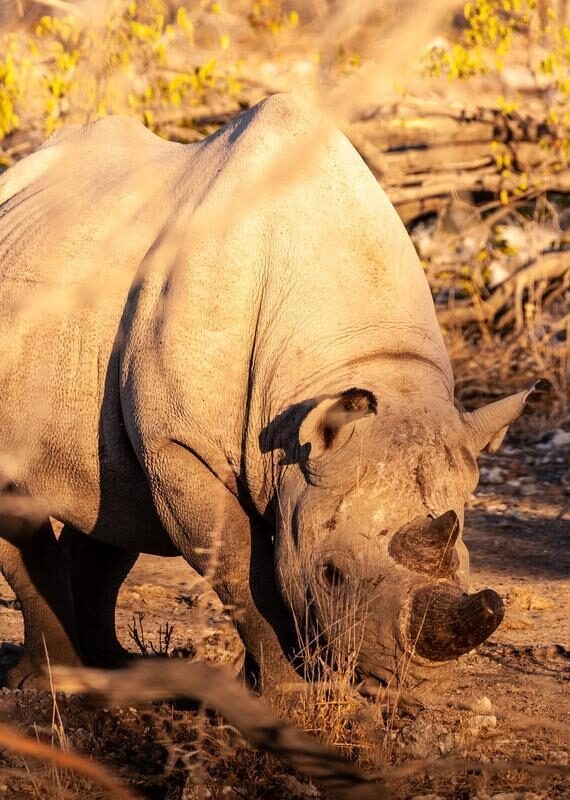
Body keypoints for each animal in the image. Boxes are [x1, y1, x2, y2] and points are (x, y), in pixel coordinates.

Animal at [0, 94, 542, 694]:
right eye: (332, 575)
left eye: (465, 562)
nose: (400, 682)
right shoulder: (180, 442)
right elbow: (240, 564)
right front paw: (290, 694)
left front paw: (267, 685)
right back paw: (52, 685)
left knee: (113, 503)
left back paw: (113, 672)